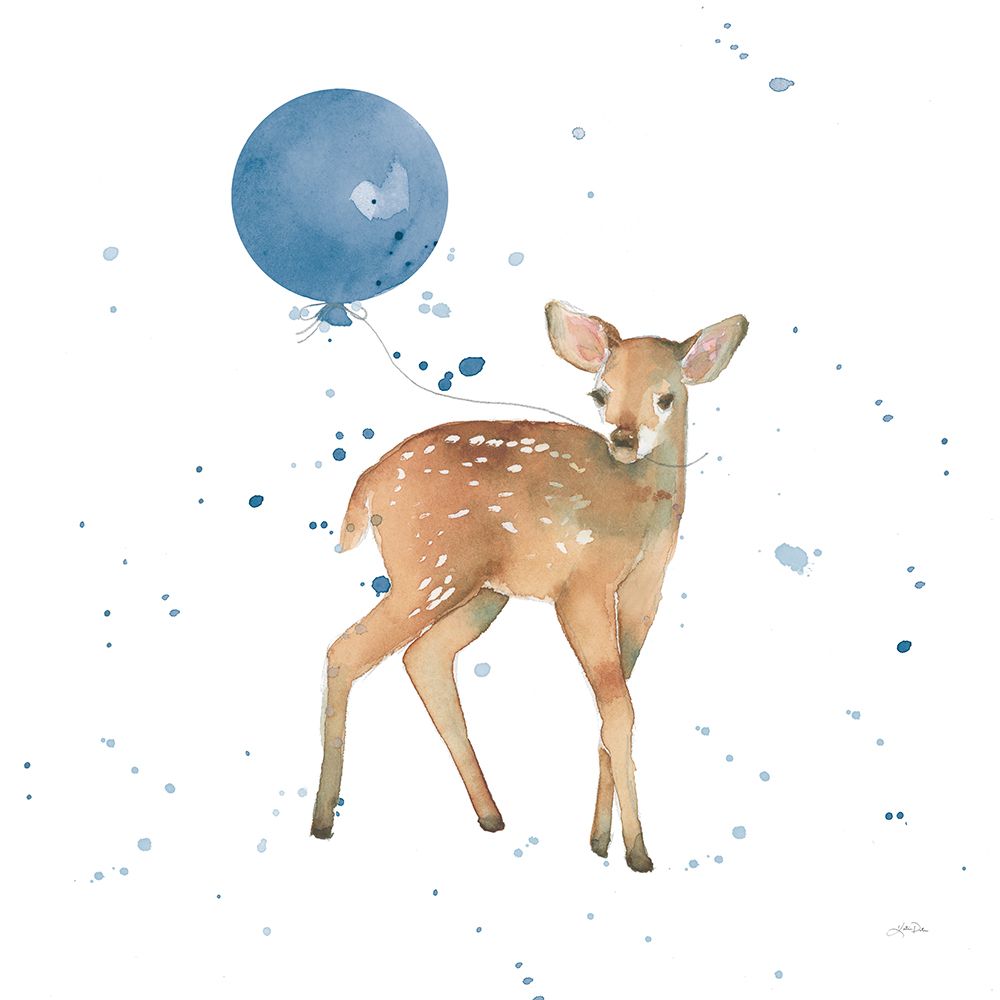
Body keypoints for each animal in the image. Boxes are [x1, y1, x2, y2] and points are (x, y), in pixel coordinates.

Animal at [311, 300, 748, 871]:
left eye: (666, 396)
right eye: (600, 393)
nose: (624, 440)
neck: (640, 509)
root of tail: (367, 486)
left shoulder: (645, 588)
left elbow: (616, 705)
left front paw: (600, 841)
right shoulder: (581, 585)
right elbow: (618, 709)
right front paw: (637, 852)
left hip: (480, 590)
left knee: (422, 657)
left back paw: (492, 816)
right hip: (428, 571)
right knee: (346, 649)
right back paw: (322, 821)